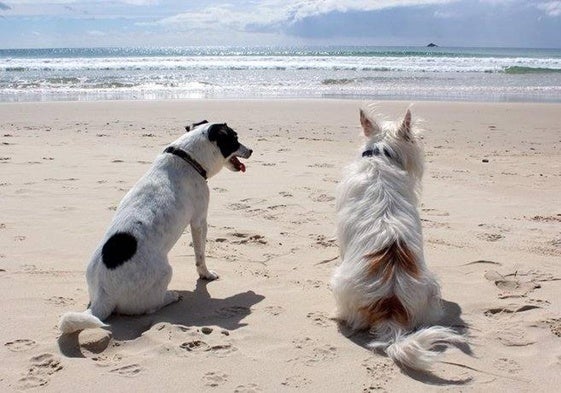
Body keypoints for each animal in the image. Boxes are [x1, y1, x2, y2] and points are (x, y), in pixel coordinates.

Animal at [59, 121, 252, 332]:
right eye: (234, 138)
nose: (251, 150)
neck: (188, 157)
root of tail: (103, 296)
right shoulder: (199, 221)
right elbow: (200, 256)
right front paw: (206, 274)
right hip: (166, 272)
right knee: (151, 306)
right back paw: (171, 296)